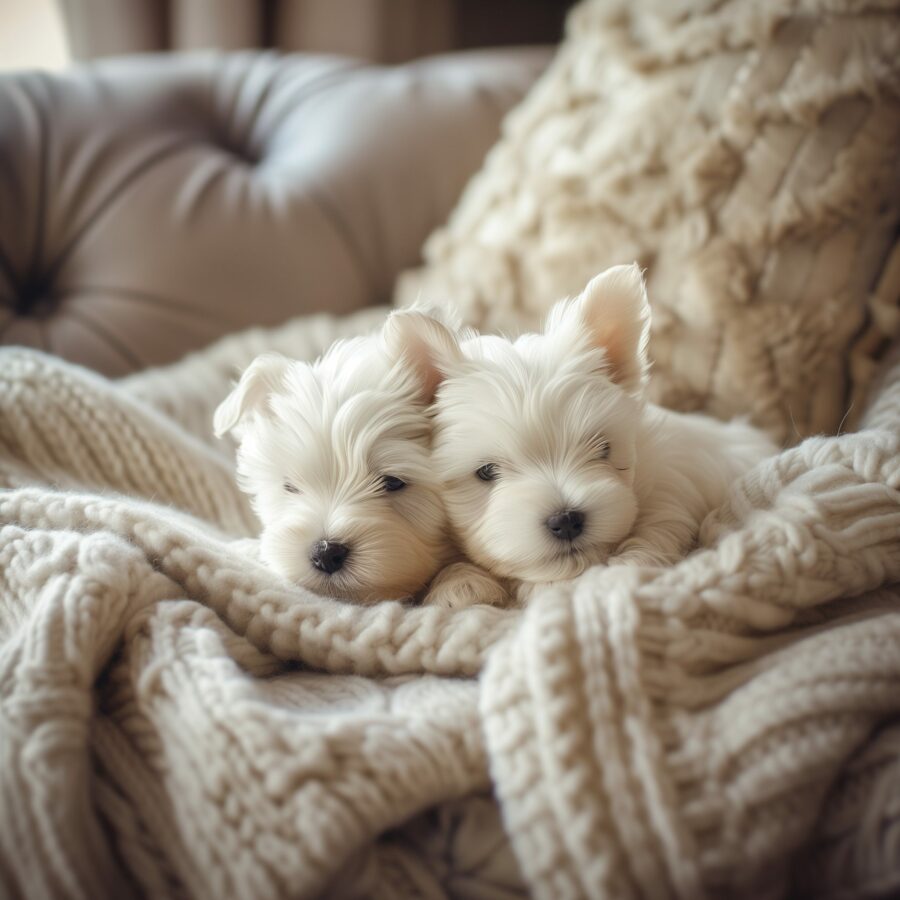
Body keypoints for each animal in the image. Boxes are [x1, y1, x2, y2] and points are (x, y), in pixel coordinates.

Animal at [396, 264, 780, 596]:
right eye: (487, 472)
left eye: (604, 450)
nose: (566, 520)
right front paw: (459, 583)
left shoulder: (671, 484)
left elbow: (657, 526)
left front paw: (630, 562)